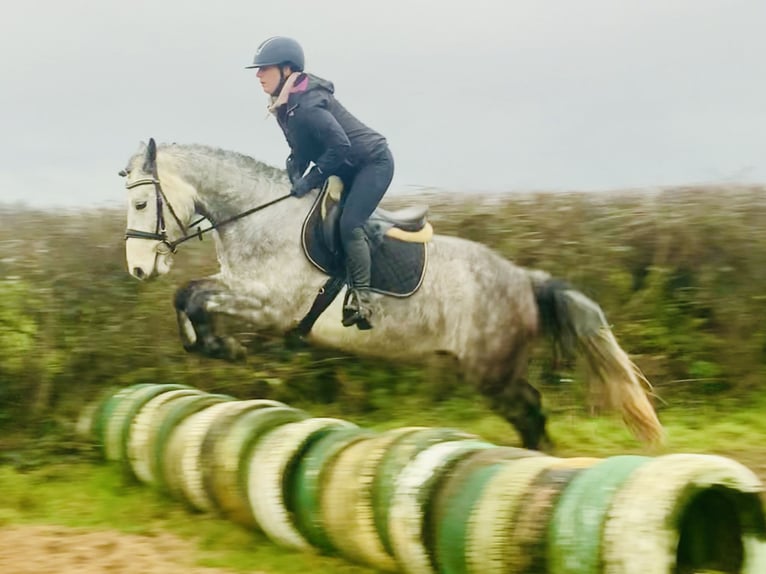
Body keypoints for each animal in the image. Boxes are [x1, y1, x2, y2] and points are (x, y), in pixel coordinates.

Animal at [121, 138, 664, 450]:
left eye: (142, 202)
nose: (138, 268)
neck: (259, 217)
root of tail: (526, 281)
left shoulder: (270, 304)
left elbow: (193, 296)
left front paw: (225, 347)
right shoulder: (240, 289)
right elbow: (189, 296)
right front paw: (211, 345)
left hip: (492, 372)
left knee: (529, 411)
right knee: (528, 413)